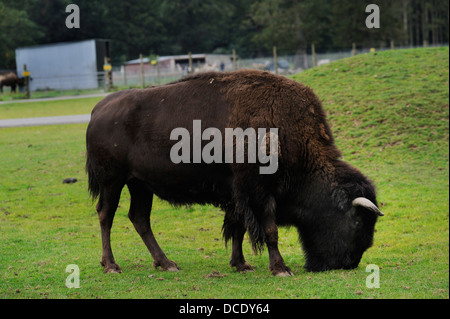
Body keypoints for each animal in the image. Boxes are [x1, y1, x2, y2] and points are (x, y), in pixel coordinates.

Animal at [85, 70, 384, 278]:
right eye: (358, 221)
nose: (348, 264)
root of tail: (98, 109)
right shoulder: (259, 193)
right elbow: (269, 230)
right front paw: (280, 269)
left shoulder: (238, 194)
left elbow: (238, 228)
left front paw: (241, 264)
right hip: (112, 181)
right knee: (105, 215)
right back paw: (112, 266)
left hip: (140, 185)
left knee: (139, 218)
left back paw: (166, 263)